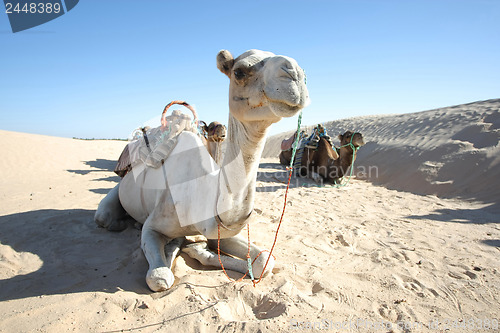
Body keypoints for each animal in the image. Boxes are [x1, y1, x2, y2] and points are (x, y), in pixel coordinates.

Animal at [94, 48, 308, 290]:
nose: (295, 73)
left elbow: (265, 260)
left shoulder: (217, 230)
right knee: (105, 217)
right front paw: (177, 252)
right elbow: (160, 278)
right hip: (113, 199)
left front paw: (195, 248)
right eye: (239, 72)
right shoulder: (153, 226)